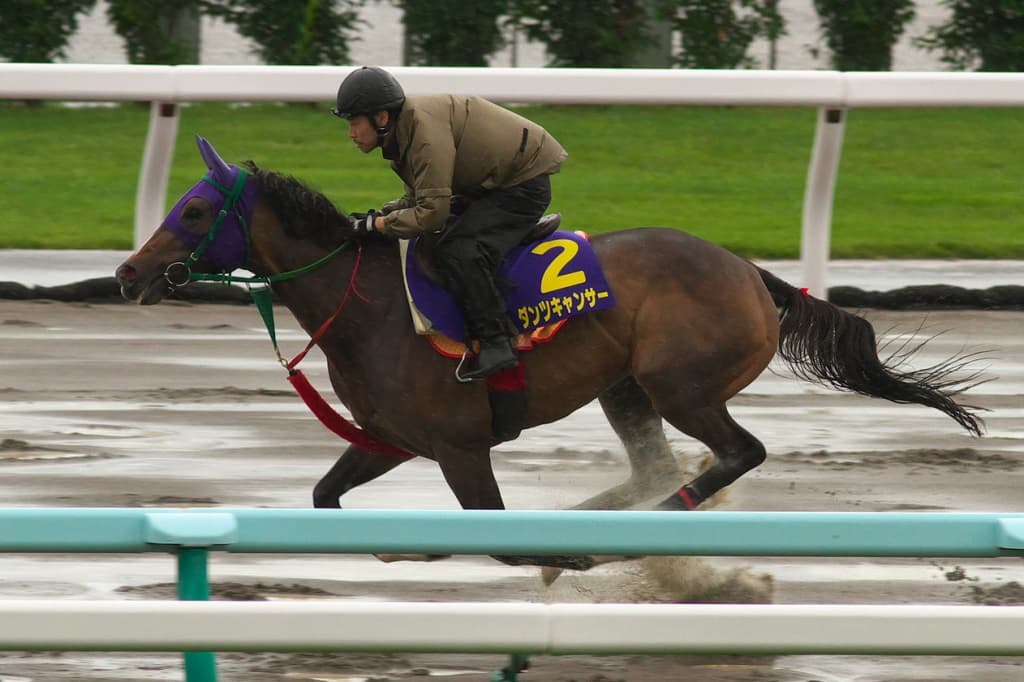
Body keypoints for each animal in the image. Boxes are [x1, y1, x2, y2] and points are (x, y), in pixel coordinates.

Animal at [115, 136, 984, 572]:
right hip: (625, 387)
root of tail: (751, 273)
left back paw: (632, 533)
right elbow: (327, 496)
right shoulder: (392, 439)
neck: (372, 310)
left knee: (735, 454)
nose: (127, 273)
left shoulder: (461, 447)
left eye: (194, 211)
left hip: (681, 385)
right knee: (652, 465)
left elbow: (494, 530)